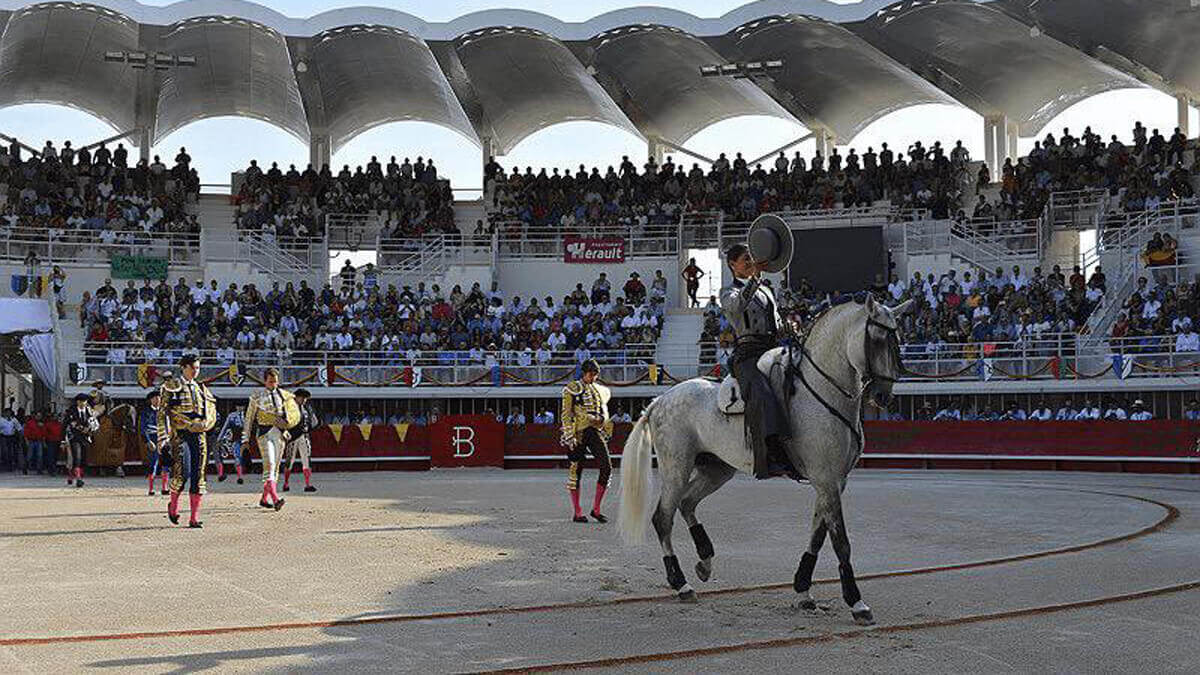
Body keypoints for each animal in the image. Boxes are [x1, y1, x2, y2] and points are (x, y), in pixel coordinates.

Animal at [619, 296, 907, 624]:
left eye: (897, 338)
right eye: (877, 339)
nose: (883, 395)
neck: (824, 391)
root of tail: (658, 401)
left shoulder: (833, 481)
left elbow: (818, 533)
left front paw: (803, 590)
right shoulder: (826, 478)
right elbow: (840, 541)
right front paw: (857, 603)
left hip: (717, 469)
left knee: (687, 503)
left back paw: (705, 562)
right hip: (676, 467)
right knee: (663, 517)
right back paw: (682, 584)